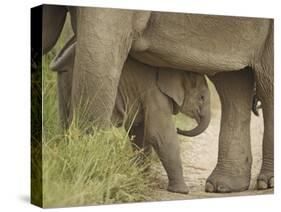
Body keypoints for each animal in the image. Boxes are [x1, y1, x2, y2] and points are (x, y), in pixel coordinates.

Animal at [49, 37, 210, 194]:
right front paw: (182, 191)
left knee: (65, 122)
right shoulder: (154, 93)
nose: (179, 128)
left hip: (64, 81)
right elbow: (159, 134)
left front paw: (142, 179)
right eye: (202, 98)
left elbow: (140, 132)